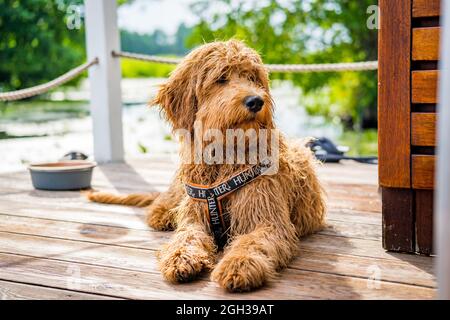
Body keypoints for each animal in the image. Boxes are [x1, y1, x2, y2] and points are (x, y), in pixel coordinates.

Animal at [89, 39, 326, 292]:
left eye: (252, 77)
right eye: (221, 78)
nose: (256, 101)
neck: (224, 159)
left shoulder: (267, 219)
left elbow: (252, 242)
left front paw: (239, 265)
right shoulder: (195, 213)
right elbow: (187, 234)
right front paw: (180, 257)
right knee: (161, 204)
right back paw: (163, 214)